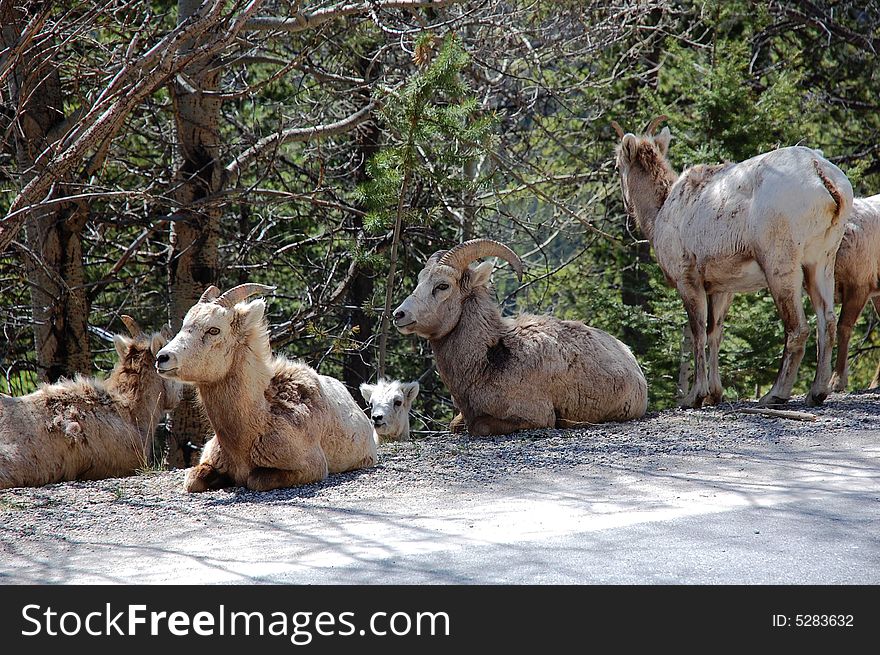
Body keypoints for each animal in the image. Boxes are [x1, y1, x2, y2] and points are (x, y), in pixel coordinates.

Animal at [156, 282, 376, 492]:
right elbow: (192, 481)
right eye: (184, 325)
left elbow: (256, 480)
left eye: (214, 330)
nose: (162, 358)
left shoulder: (311, 468)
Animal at [392, 238, 648, 438]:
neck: (489, 361)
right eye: (419, 281)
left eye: (442, 286)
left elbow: (479, 427)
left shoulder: (532, 417)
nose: (399, 315)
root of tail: (630, 359)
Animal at [612, 115, 852, 408]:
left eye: (617, 166)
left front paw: (695, 396)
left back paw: (775, 394)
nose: (625, 205)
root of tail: (823, 177)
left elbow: (698, 333)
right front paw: (715, 394)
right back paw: (816, 392)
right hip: (821, 261)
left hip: (780, 262)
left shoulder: (687, 279)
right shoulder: (722, 287)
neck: (658, 215)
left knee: (798, 328)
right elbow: (715, 333)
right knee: (827, 321)